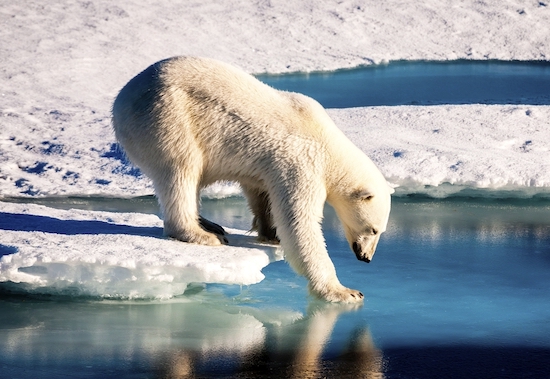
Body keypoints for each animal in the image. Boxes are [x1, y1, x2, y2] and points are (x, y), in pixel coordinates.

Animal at [113, 55, 392, 302]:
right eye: (373, 229)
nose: (366, 257)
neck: (328, 143)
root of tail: (121, 99)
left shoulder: (269, 166)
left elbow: (260, 192)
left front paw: (270, 232)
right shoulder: (302, 163)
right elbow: (299, 223)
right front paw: (345, 291)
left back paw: (210, 224)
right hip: (167, 117)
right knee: (181, 170)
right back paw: (201, 234)